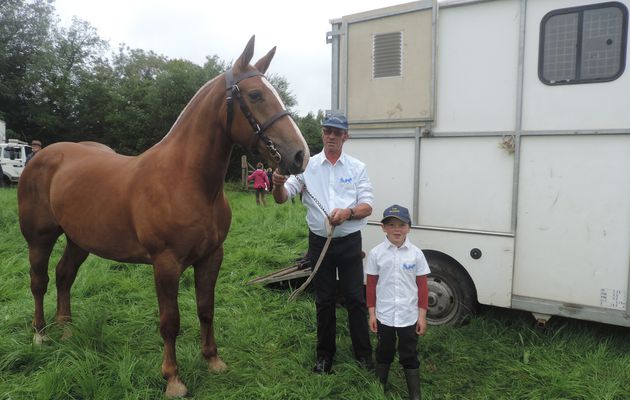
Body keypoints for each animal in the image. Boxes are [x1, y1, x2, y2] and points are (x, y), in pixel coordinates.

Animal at [20, 36, 314, 396]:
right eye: (256, 94)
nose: (300, 155)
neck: (186, 179)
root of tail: (43, 155)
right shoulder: (166, 264)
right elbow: (170, 321)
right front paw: (173, 379)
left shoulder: (212, 256)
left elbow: (205, 308)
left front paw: (213, 360)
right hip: (39, 237)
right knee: (39, 281)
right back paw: (40, 334)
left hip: (79, 239)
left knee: (64, 275)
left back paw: (66, 330)